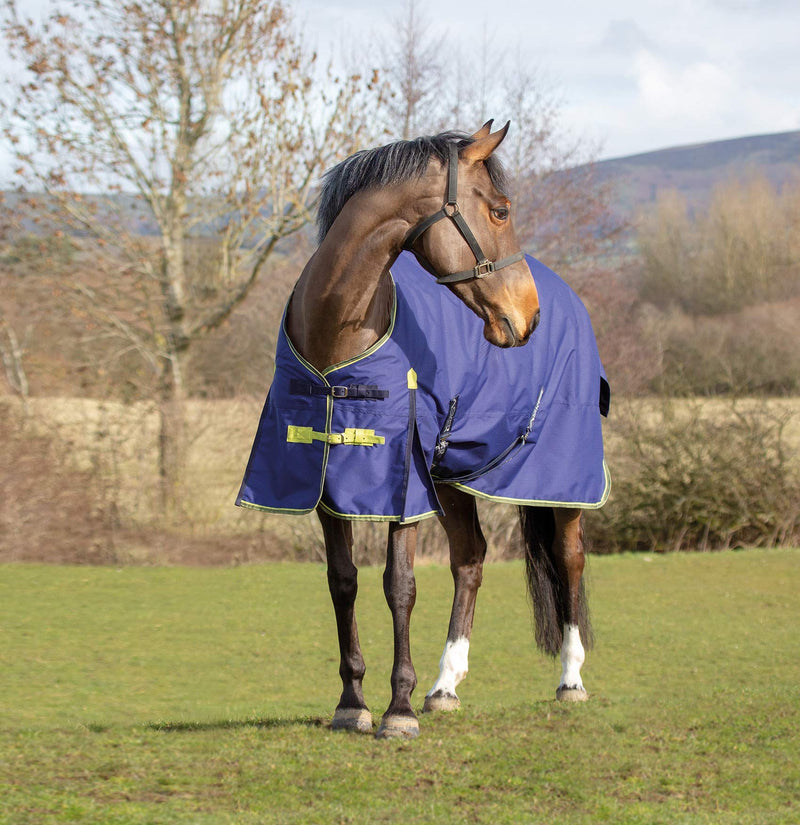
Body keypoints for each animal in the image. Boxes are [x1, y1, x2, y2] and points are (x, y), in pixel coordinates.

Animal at [237, 121, 609, 739]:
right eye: (501, 210)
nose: (527, 315)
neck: (337, 335)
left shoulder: (401, 486)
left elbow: (400, 586)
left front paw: (398, 711)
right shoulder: (326, 486)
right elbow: (343, 581)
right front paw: (352, 704)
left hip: (559, 478)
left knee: (570, 557)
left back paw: (570, 680)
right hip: (453, 474)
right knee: (471, 559)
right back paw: (444, 686)